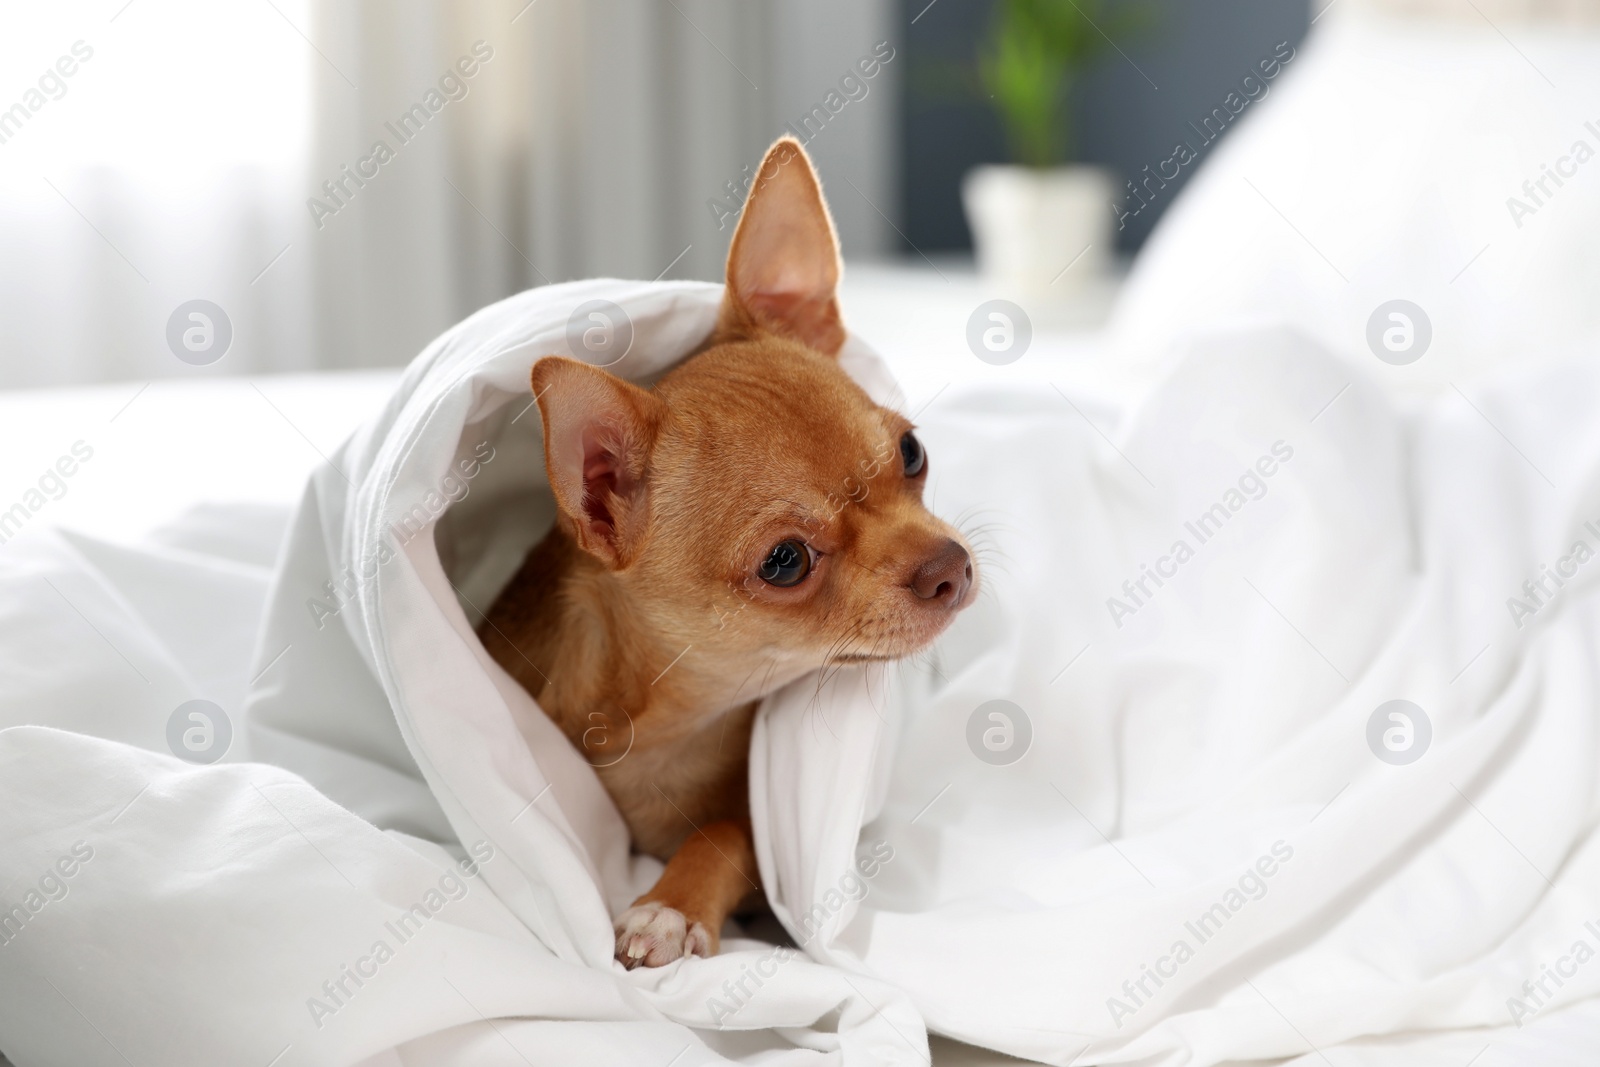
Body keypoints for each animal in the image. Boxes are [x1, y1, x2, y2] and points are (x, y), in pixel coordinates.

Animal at [476, 137, 972, 972]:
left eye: (911, 452)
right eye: (785, 562)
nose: (952, 566)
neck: (665, 718)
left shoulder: (755, 837)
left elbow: (723, 832)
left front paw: (669, 905)